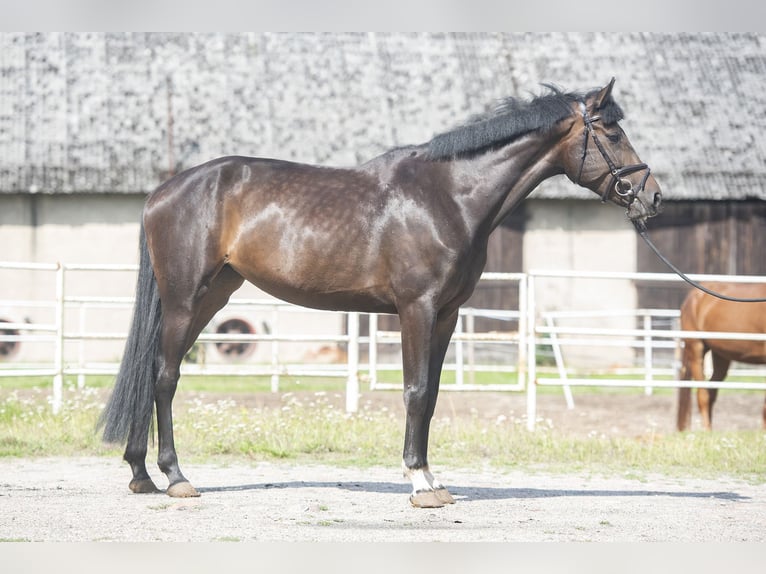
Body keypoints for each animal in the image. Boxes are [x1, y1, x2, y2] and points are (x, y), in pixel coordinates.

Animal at [100, 77, 664, 508]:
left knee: (152, 371)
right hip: (184, 300)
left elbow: (431, 396)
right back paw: (175, 477)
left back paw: (141, 475)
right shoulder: (416, 309)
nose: (653, 198)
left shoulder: (446, 315)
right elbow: (414, 391)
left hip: (211, 297)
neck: (449, 197)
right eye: (613, 133)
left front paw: (433, 479)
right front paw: (418, 483)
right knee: (165, 376)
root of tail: (163, 192)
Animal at [680, 284, 766, 432]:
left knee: (711, 392)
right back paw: (707, 431)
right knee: (703, 395)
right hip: (696, 349)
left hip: (721, 356)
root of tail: (693, 296)